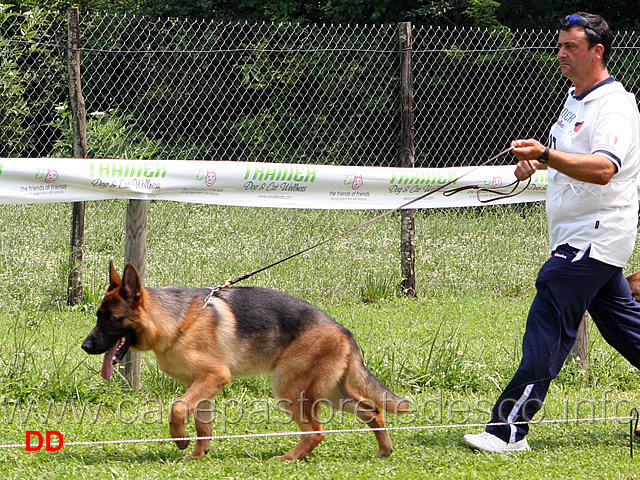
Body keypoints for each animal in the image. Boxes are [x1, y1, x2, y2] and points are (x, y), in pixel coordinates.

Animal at [82, 262, 410, 462]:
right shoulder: (201, 386)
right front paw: (198, 454)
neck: (175, 321)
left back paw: (289, 458)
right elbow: (202, 425)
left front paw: (180, 440)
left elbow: (176, 409)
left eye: (111, 319)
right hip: (331, 392)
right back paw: (384, 450)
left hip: (291, 390)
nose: (85, 346)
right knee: (372, 409)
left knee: (316, 430)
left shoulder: (214, 377)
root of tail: (344, 332)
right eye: (98, 317)